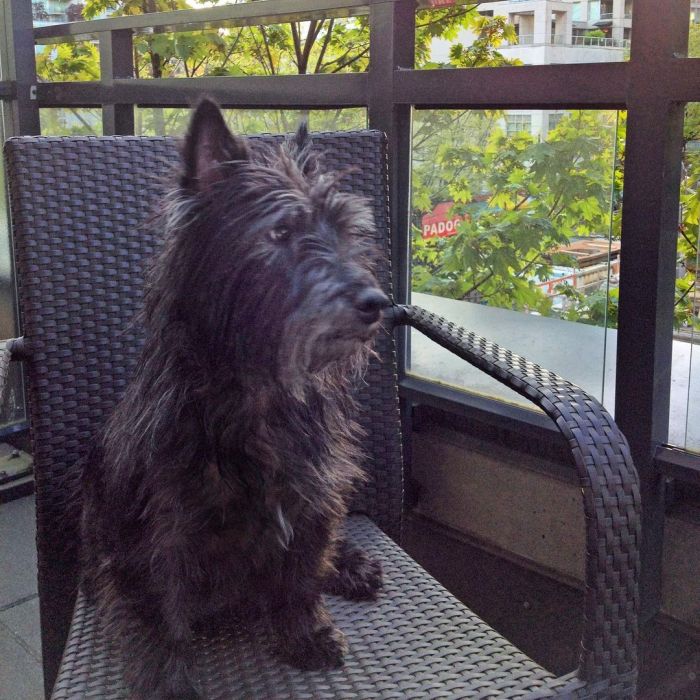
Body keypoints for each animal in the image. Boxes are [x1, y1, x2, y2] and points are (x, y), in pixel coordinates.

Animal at [81, 100, 392, 700]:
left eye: (346, 233)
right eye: (280, 231)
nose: (376, 302)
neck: (259, 392)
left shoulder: (313, 499)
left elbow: (300, 577)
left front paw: (306, 633)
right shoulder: (155, 542)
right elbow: (160, 624)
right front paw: (171, 688)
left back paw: (351, 564)